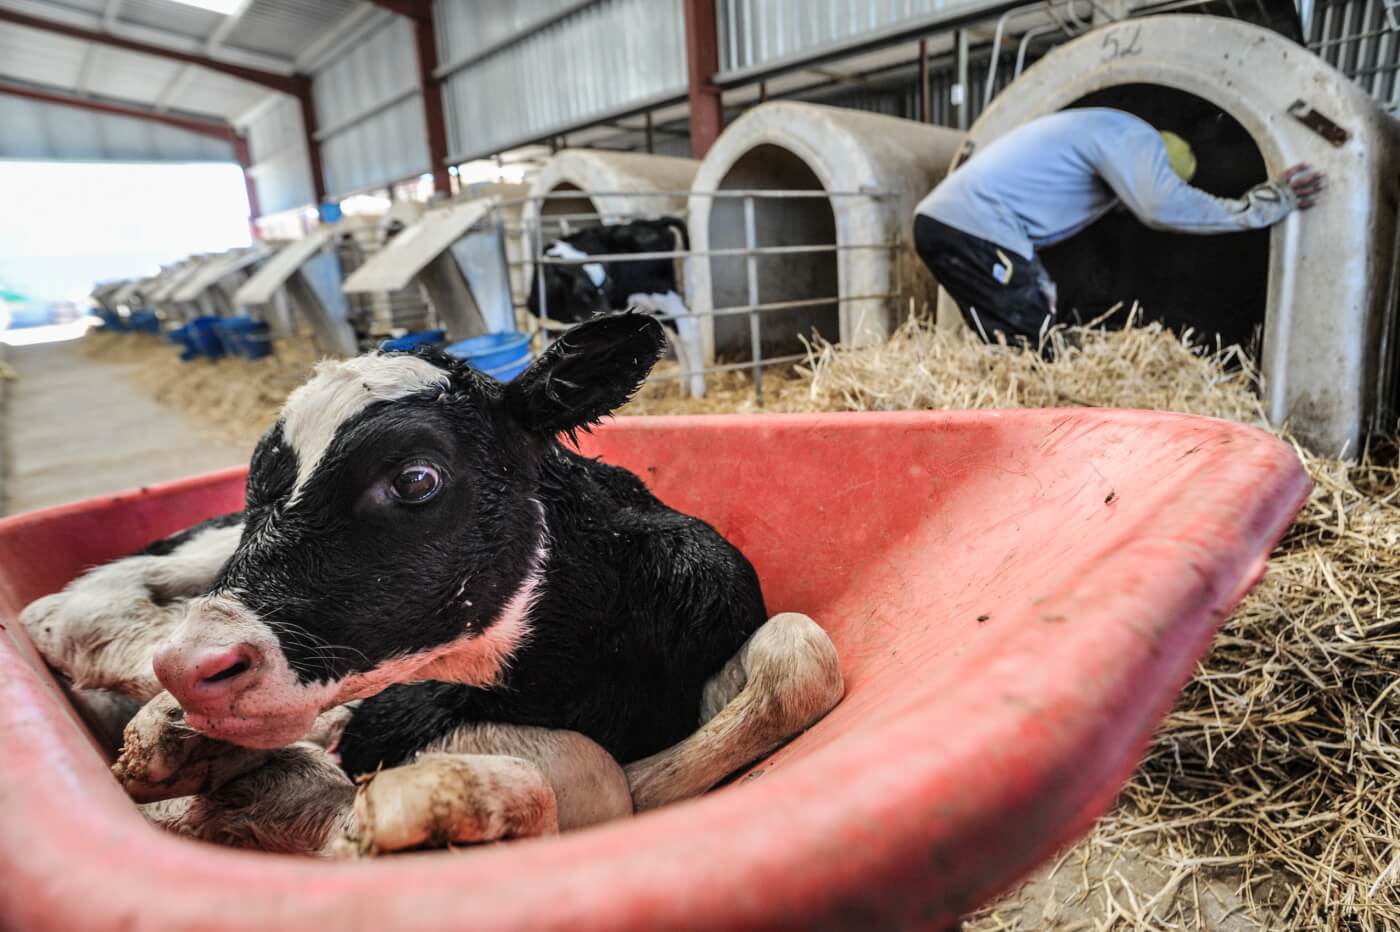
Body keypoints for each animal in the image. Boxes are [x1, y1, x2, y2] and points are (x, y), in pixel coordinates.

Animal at [24, 310, 840, 850]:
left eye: (416, 478)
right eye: (259, 482)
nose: (197, 667)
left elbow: (801, 653)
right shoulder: (398, 716)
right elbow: (592, 775)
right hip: (199, 555)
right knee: (69, 611)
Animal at [526, 215, 705, 394]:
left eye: (608, 288)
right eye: (583, 293)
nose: (605, 314)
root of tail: (653, 222)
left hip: (662, 293)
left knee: (689, 329)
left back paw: (697, 389)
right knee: (676, 334)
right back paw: (685, 386)